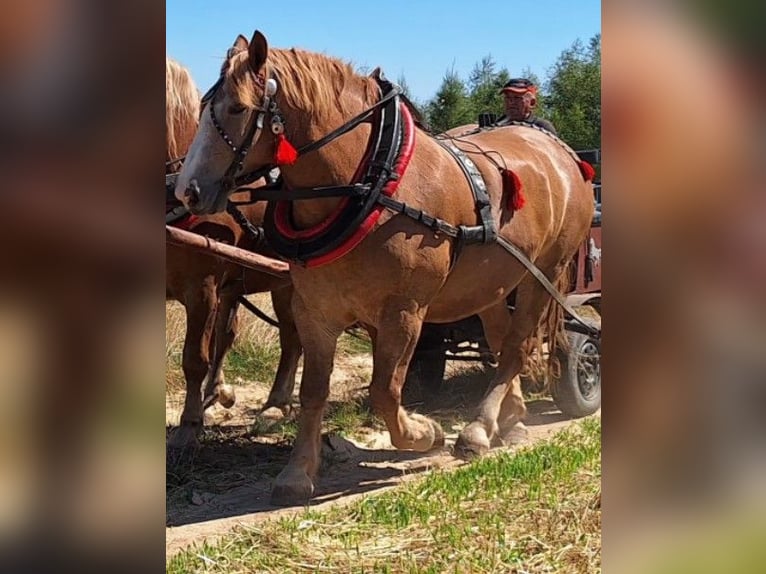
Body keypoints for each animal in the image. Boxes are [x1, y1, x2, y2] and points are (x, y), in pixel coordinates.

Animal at [165, 56, 302, 448]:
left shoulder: (202, 290)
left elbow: (194, 357)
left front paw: (190, 423)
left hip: (287, 284)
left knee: (293, 338)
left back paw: (276, 405)